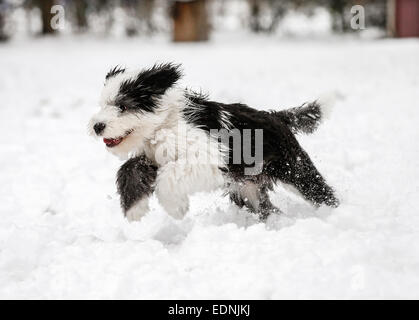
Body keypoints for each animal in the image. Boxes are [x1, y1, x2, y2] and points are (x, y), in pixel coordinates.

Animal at [90, 62, 340, 222]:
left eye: (122, 106)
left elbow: (169, 175)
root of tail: (277, 116)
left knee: (320, 192)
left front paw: (177, 208)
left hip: (293, 168)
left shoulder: (210, 157)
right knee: (267, 209)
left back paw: (335, 215)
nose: (97, 126)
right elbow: (129, 168)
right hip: (247, 188)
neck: (167, 123)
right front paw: (135, 210)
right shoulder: (151, 157)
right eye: (102, 105)